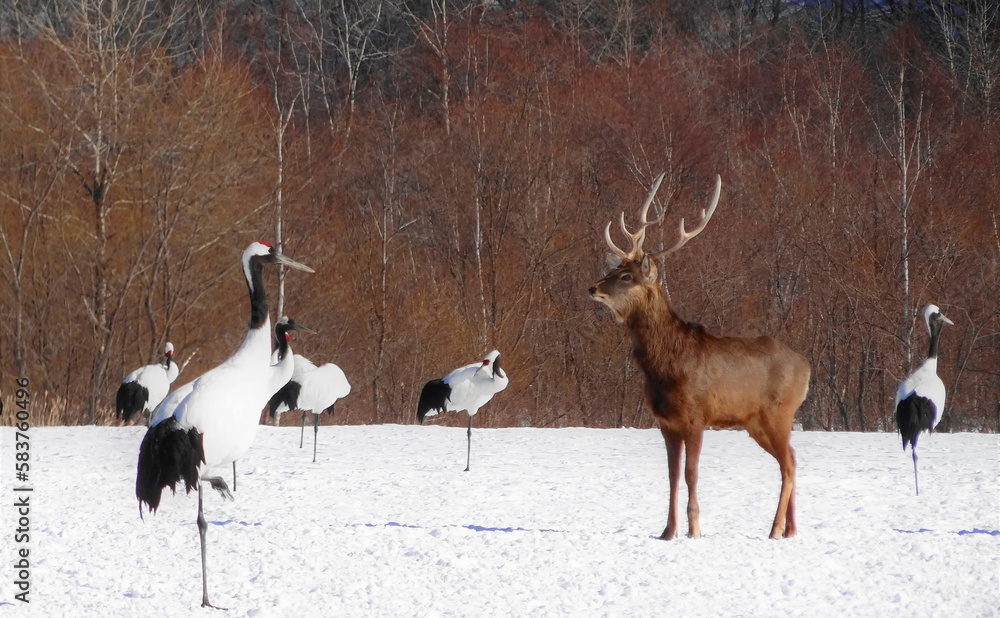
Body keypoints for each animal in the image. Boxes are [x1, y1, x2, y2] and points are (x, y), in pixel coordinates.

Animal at [589, 173, 810, 540]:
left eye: (626, 276)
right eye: (615, 268)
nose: (592, 288)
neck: (665, 367)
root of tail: (807, 366)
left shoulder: (696, 416)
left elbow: (692, 473)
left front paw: (694, 530)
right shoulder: (665, 422)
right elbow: (672, 475)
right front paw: (668, 531)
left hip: (780, 411)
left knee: (789, 463)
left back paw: (776, 528)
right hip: (754, 421)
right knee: (790, 458)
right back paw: (791, 529)